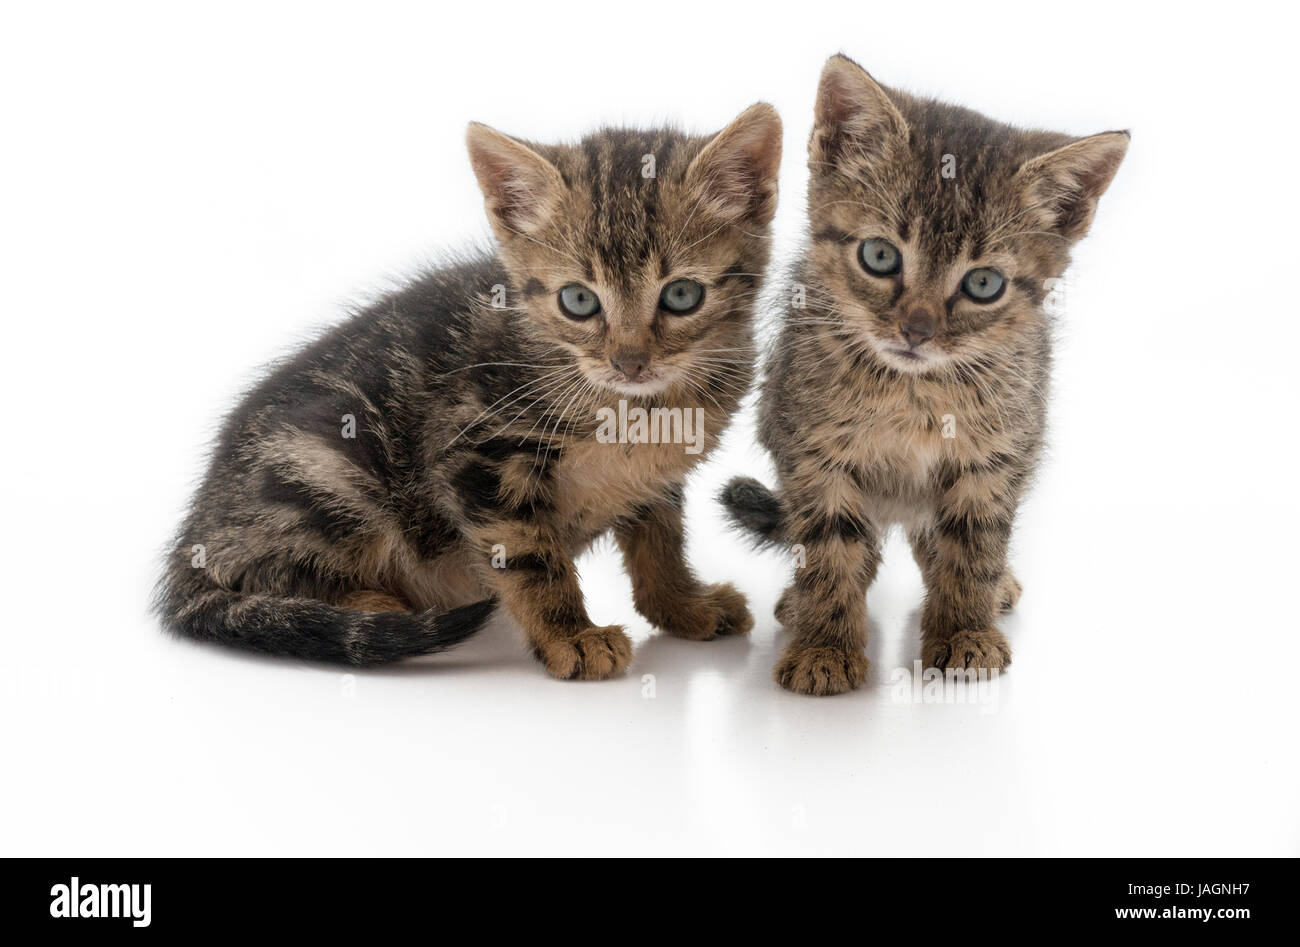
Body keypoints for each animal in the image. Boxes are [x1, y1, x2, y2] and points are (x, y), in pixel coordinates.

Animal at [154, 103, 780, 676]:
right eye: (578, 300)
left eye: (681, 296)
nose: (629, 362)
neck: (636, 407)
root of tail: (195, 533)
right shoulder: (479, 452)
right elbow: (530, 557)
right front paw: (570, 636)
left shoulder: (657, 477)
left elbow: (660, 540)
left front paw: (683, 604)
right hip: (326, 464)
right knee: (263, 572)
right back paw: (374, 609)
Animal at [722, 57, 1128, 697]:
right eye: (880, 256)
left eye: (983, 284)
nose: (917, 329)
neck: (913, 392)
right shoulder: (812, 451)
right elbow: (832, 551)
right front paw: (825, 644)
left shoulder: (994, 457)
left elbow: (971, 548)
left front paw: (964, 632)